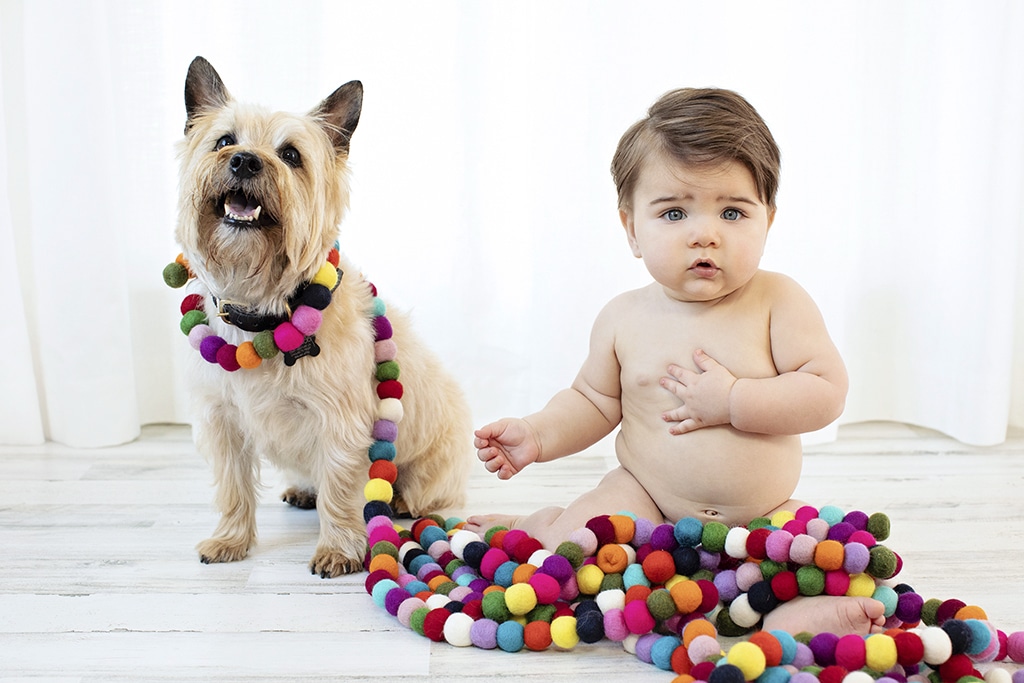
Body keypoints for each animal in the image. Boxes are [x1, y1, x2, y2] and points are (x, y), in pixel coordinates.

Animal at [173, 56, 471, 577]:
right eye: (224, 141)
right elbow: (232, 487)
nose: (245, 160)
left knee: (425, 490)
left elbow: (340, 483)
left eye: (291, 155)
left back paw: (403, 501)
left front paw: (337, 549)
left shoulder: (340, 422)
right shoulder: (222, 422)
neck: (266, 316)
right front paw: (231, 539)